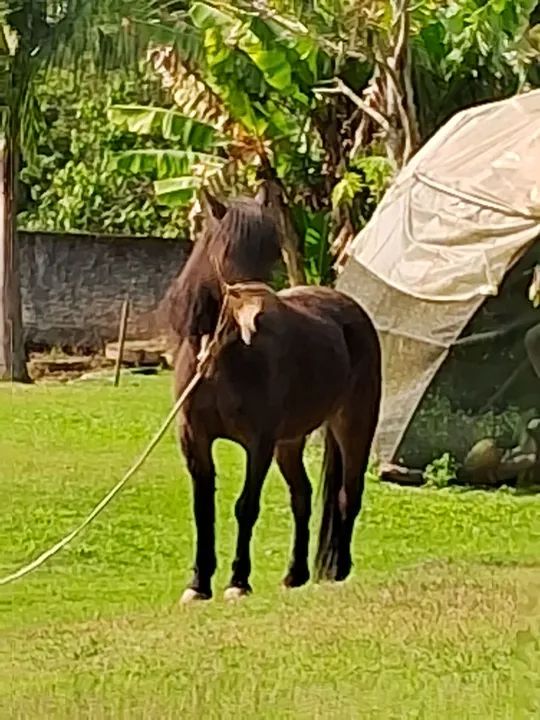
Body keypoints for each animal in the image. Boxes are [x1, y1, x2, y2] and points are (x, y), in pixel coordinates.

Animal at [164, 188, 382, 603]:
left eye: (272, 250)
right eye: (227, 251)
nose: (259, 311)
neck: (219, 358)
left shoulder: (259, 442)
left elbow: (246, 507)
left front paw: (238, 581)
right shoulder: (194, 439)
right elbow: (203, 509)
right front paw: (199, 584)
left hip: (354, 425)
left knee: (348, 494)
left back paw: (338, 569)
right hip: (291, 442)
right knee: (302, 496)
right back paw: (295, 574)